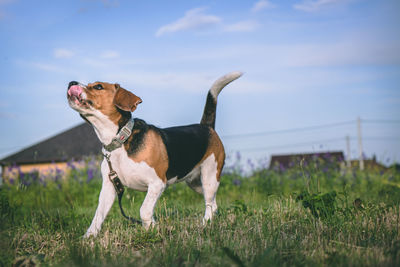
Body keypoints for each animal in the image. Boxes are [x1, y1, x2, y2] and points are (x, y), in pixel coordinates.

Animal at [67, 71, 242, 239]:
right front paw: (88, 238)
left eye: (98, 87)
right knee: (213, 204)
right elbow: (98, 215)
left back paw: (205, 225)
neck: (121, 140)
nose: (71, 83)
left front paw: (151, 229)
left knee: (209, 204)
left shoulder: (157, 183)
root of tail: (206, 127)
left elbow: (144, 210)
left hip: (210, 177)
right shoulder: (109, 188)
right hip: (195, 183)